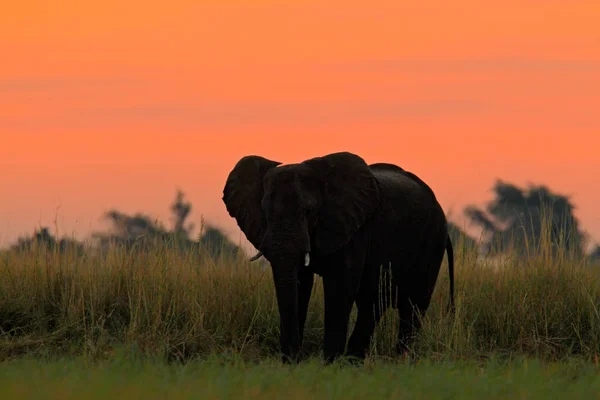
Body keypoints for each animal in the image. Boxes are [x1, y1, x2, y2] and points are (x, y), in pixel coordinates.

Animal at [221, 152, 454, 364]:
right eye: (264, 211)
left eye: (309, 211)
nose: (294, 358)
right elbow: (300, 283)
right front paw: (294, 362)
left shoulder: (354, 229)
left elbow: (340, 284)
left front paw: (329, 364)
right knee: (373, 303)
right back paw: (355, 360)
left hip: (432, 239)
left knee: (413, 305)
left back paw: (401, 360)